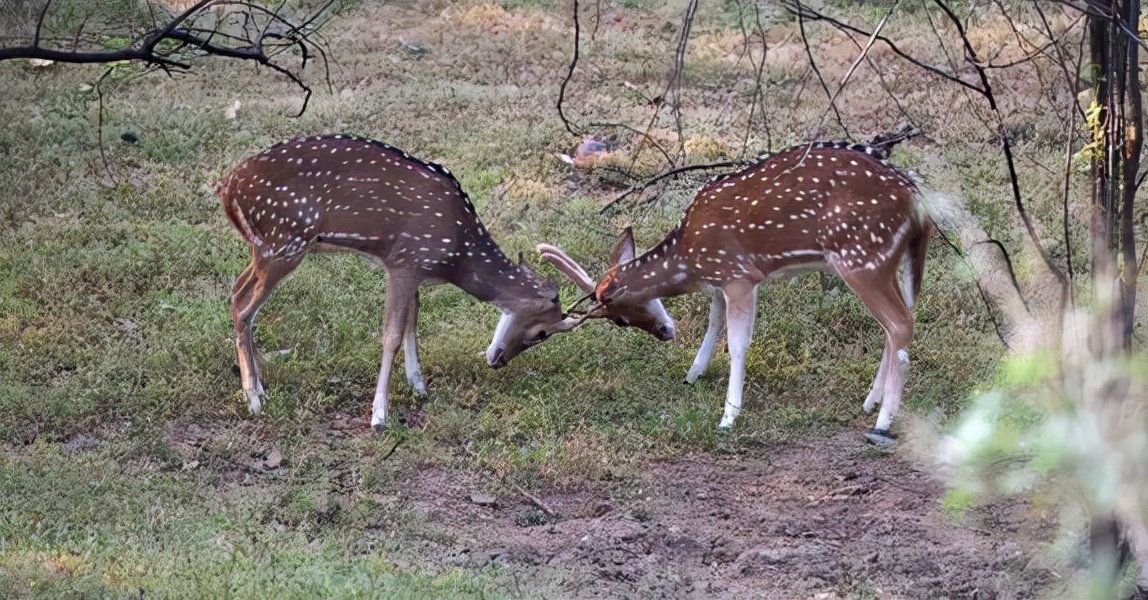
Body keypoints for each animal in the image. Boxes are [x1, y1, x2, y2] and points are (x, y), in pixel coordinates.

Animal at [216, 134, 670, 429]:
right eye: (542, 333)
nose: (498, 360)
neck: (457, 254)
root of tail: (228, 189)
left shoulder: (417, 270)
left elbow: (413, 325)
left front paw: (419, 387)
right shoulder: (402, 260)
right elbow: (391, 333)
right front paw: (379, 415)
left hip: (266, 247)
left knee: (236, 293)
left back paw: (262, 387)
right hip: (284, 241)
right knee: (242, 305)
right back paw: (253, 398)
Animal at [541, 139, 945, 440]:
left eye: (620, 319)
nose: (665, 332)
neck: (689, 256)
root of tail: (919, 202)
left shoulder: (739, 274)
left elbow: (737, 343)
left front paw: (729, 415)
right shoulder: (720, 281)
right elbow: (713, 323)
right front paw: (693, 374)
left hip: (862, 258)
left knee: (900, 324)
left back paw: (883, 421)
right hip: (890, 260)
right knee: (898, 323)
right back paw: (870, 402)